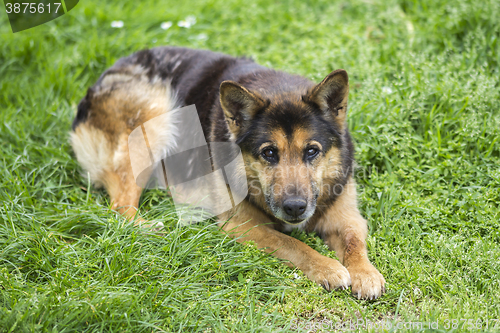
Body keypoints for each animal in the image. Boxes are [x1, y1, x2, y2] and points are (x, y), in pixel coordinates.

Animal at [68, 46, 384, 298]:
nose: (295, 207)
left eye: (312, 151)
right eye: (269, 153)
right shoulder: (241, 224)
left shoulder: (347, 215)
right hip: (154, 119)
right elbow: (292, 243)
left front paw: (365, 273)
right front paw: (328, 267)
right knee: (120, 205)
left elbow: (354, 240)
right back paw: (148, 226)